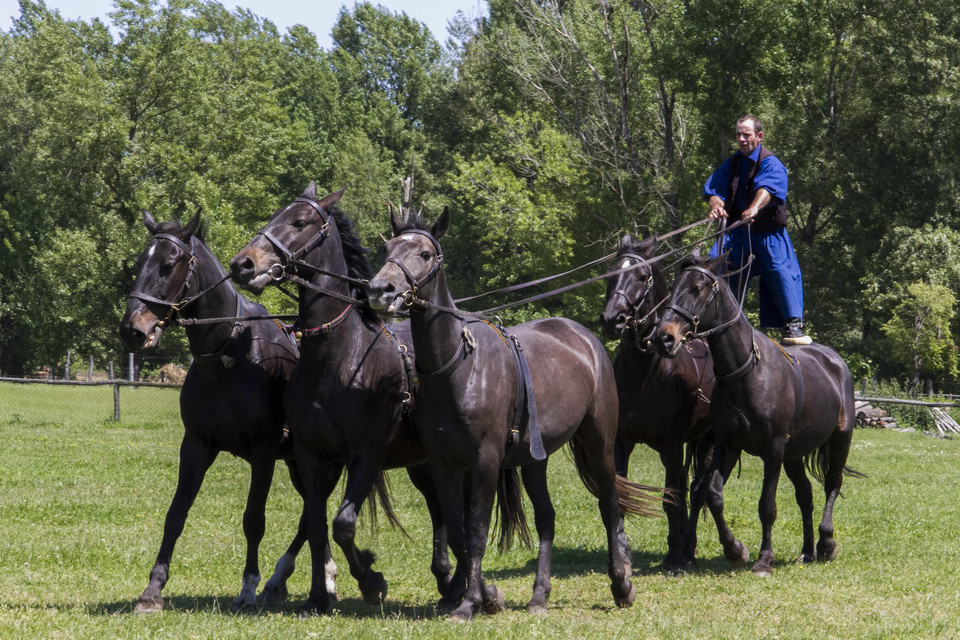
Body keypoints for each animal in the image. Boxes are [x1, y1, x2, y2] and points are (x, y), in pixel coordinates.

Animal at [120, 209, 338, 608]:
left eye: (169, 265)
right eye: (140, 263)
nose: (132, 330)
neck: (229, 355)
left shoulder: (264, 454)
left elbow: (254, 520)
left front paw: (248, 586)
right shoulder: (196, 446)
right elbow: (176, 514)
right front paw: (152, 590)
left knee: (311, 514)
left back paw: (286, 579)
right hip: (298, 464)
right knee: (313, 511)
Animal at [232, 184, 458, 616]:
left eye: (299, 222)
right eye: (275, 214)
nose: (243, 265)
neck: (338, 361)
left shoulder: (365, 456)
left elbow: (343, 525)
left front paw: (371, 581)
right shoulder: (311, 457)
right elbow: (318, 528)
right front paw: (318, 597)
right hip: (420, 464)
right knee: (438, 507)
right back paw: (445, 579)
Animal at [364, 209, 664, 620]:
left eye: (425, 253)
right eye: (387, 249)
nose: (381, 290)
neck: (457, 369)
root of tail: (586, 339)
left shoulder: (485, 463)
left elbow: (475, 533)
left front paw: (471, 602)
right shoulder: (442, 465)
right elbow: (457, 533)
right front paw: (485, 596)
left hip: (600, 443)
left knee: (609, 505)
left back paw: (621, 584)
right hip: (534, 460)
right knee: (546, 519)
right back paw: (539, 595)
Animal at [596, 235, 716, 568]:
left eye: (641, 277)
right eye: (611, 275)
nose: (612, 319)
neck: (646, 376)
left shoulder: (672, 447)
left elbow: (671, 499)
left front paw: (674, 554)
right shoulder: (621, 443)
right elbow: (621, 497)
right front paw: (621, 551)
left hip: (709, 439)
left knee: (698, 488)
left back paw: (686, 547)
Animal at [656, 250, 860, 576]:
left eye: (697, 288)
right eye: (674, 287)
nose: (665, 338)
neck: (745, 371)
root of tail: (835, 362)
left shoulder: (773, 449)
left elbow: (767, 506)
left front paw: (764, 559)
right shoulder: (728, 446)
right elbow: (713, 495)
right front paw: (735, 550)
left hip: (840, 440)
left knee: (832, 483)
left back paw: (826, 543)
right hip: (794, 455)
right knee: (805, 495)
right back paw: (807, 551)